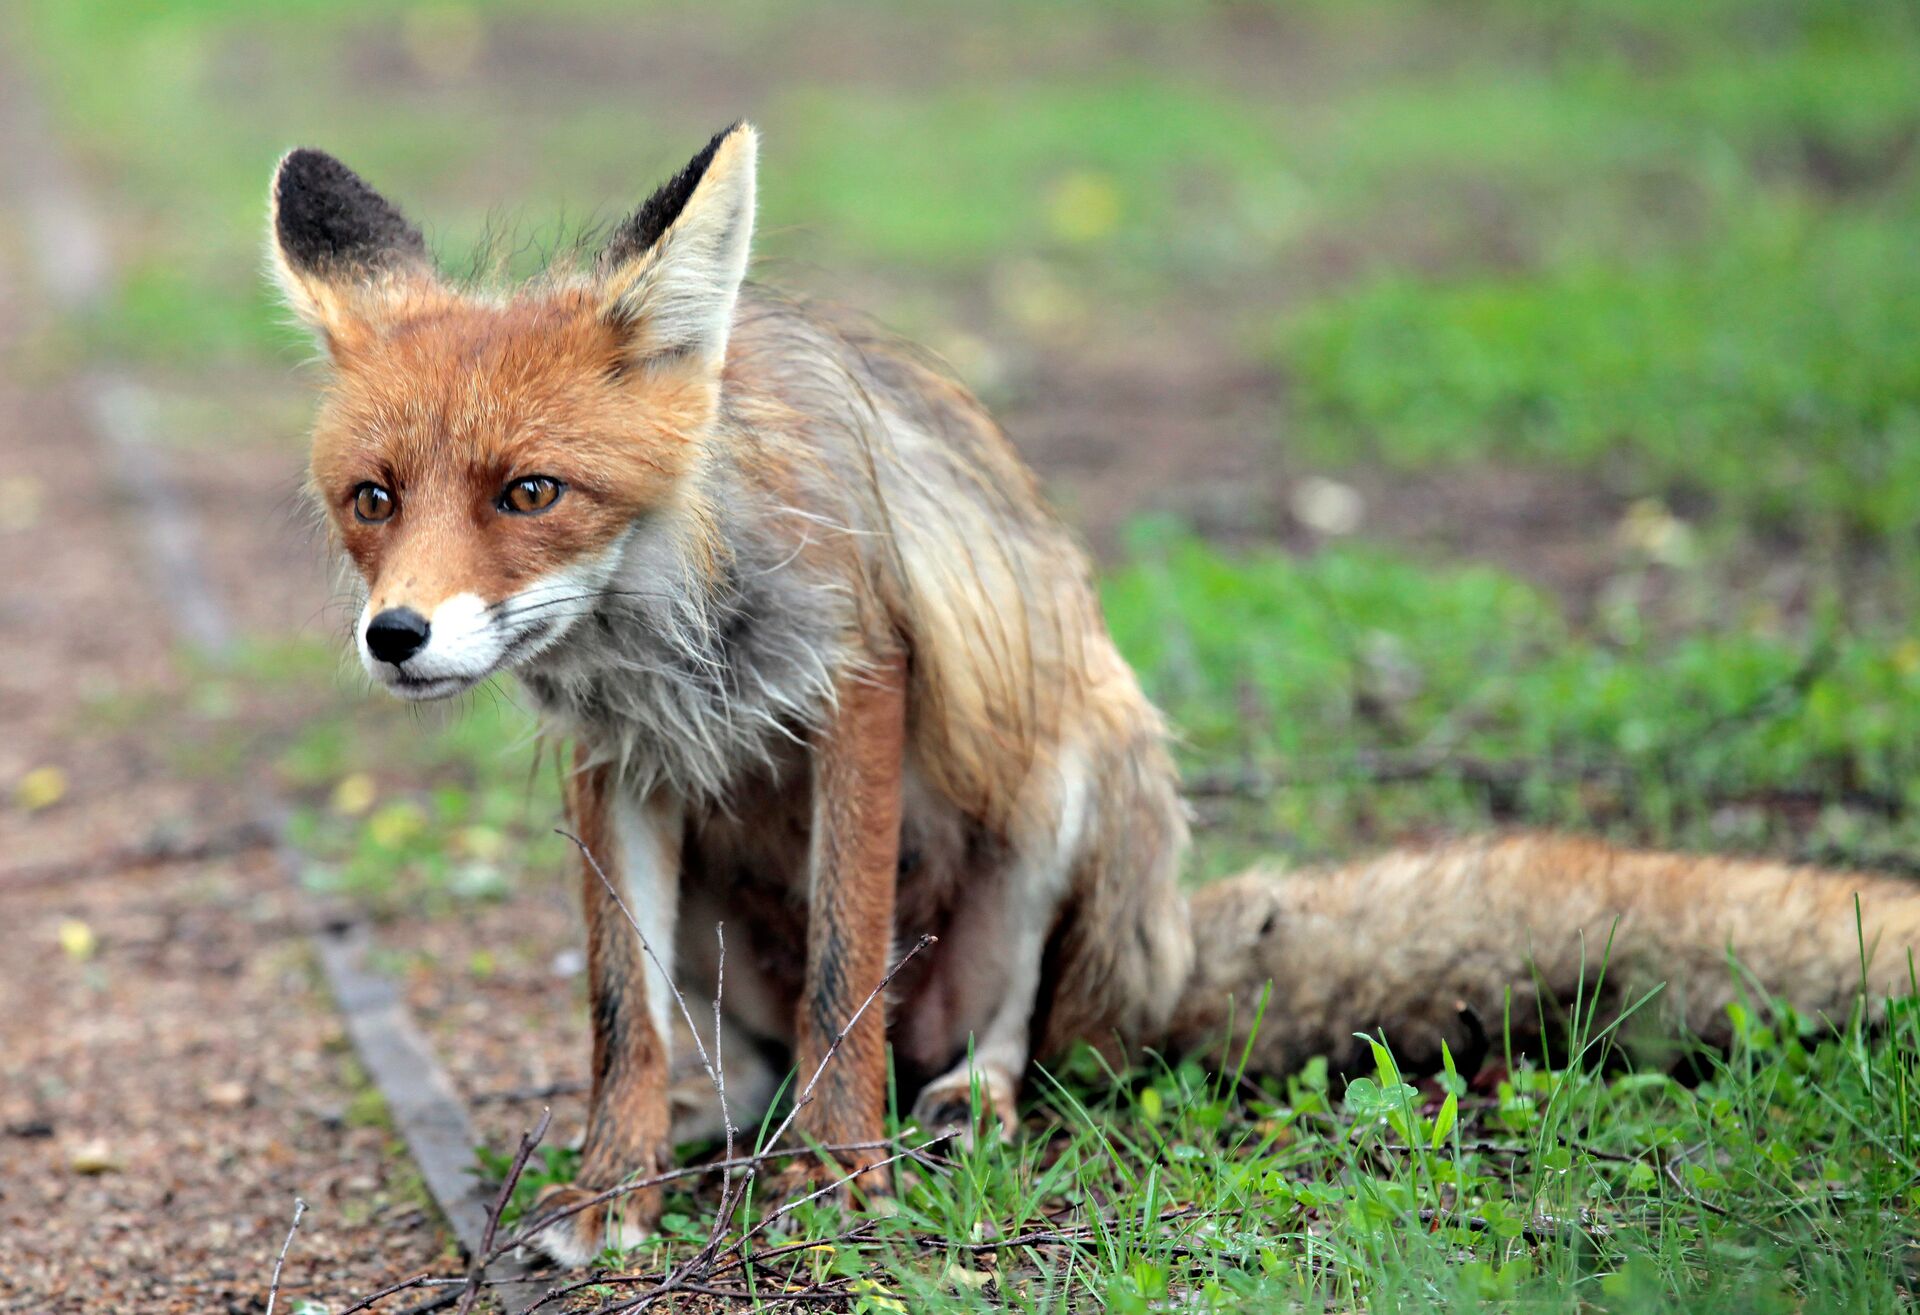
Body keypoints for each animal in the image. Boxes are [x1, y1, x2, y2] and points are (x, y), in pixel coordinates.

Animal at [270, 128, 1920, 1267]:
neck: (668, 627)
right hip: (731, 919)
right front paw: (608, 1194)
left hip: (1060, 793)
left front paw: (839, 1180)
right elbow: (623, 1015)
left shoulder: (858, 687)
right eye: (373, 499)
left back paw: (954, 1109)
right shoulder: (615, 767)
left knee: (1001, 1037)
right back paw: (723, 1121)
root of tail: (1171, 948)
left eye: (529, 491)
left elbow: (846, 972)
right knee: (735, 1046)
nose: (399, 634)